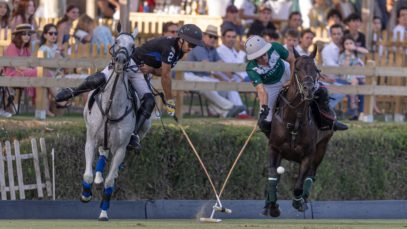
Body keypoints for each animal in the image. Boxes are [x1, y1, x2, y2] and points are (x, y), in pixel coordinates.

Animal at [79, 27, 139, 222]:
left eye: (133, 45)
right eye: (116, 41)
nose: (120, 60)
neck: (111, 106)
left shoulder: (120, 148)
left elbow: (110, 181)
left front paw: (103, 213)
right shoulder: (90, 141)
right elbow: (87, 175)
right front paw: (86, 194)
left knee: (108, 157)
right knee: (102, 154)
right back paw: (97, 176)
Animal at [264, 47, 334, 216]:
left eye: (316, 70)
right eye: (297, 68)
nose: (309, 90)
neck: (295, 119)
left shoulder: (308, 154)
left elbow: (299, 182)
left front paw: (298, 202)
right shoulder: (274, 148)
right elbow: (273, 175)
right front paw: (272, 206)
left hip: (322, 147)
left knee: (311, 174)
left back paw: (304, 198)